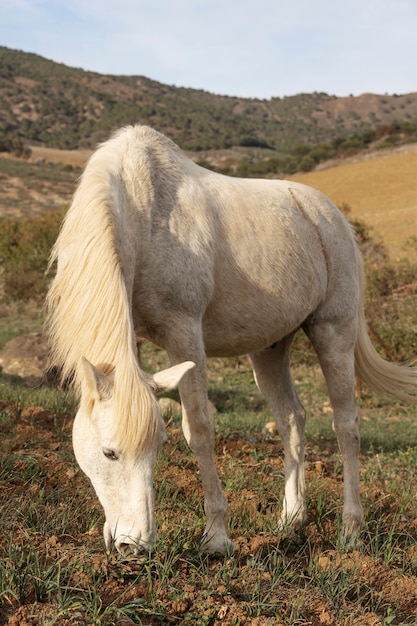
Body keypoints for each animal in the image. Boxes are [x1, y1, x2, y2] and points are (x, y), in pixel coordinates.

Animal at [45, 124, 416, 552]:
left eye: (160, 446)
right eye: (109, 453)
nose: (133, 544)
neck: (143, 214)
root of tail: (333, 217)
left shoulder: (184, 333)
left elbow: (200, 430)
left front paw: (217, 536)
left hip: (333, 332)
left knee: (346, 424)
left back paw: (351, 529)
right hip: (270, 348)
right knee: (291, 419)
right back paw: (291, 520)